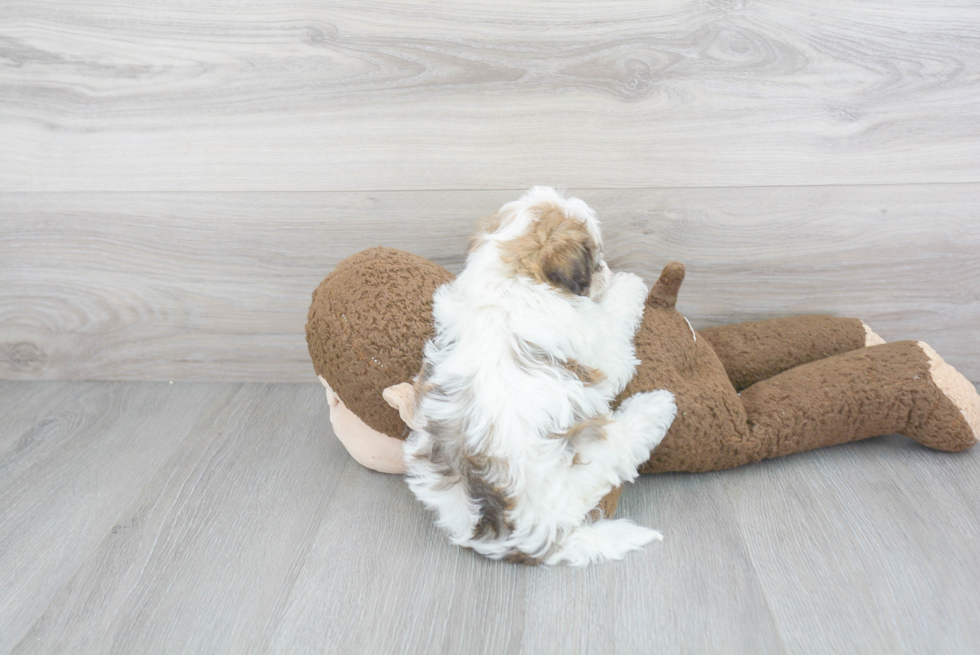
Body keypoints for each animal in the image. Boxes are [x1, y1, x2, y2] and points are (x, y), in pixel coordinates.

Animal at [386, 187, 676, 568]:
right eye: (596, 260)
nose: (608, 270)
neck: (510, 280)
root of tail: (525, 536)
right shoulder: (598, 351)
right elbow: (614, 326)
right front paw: (629, 285)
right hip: (593, 457)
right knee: (625, 444)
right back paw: (656, 406)